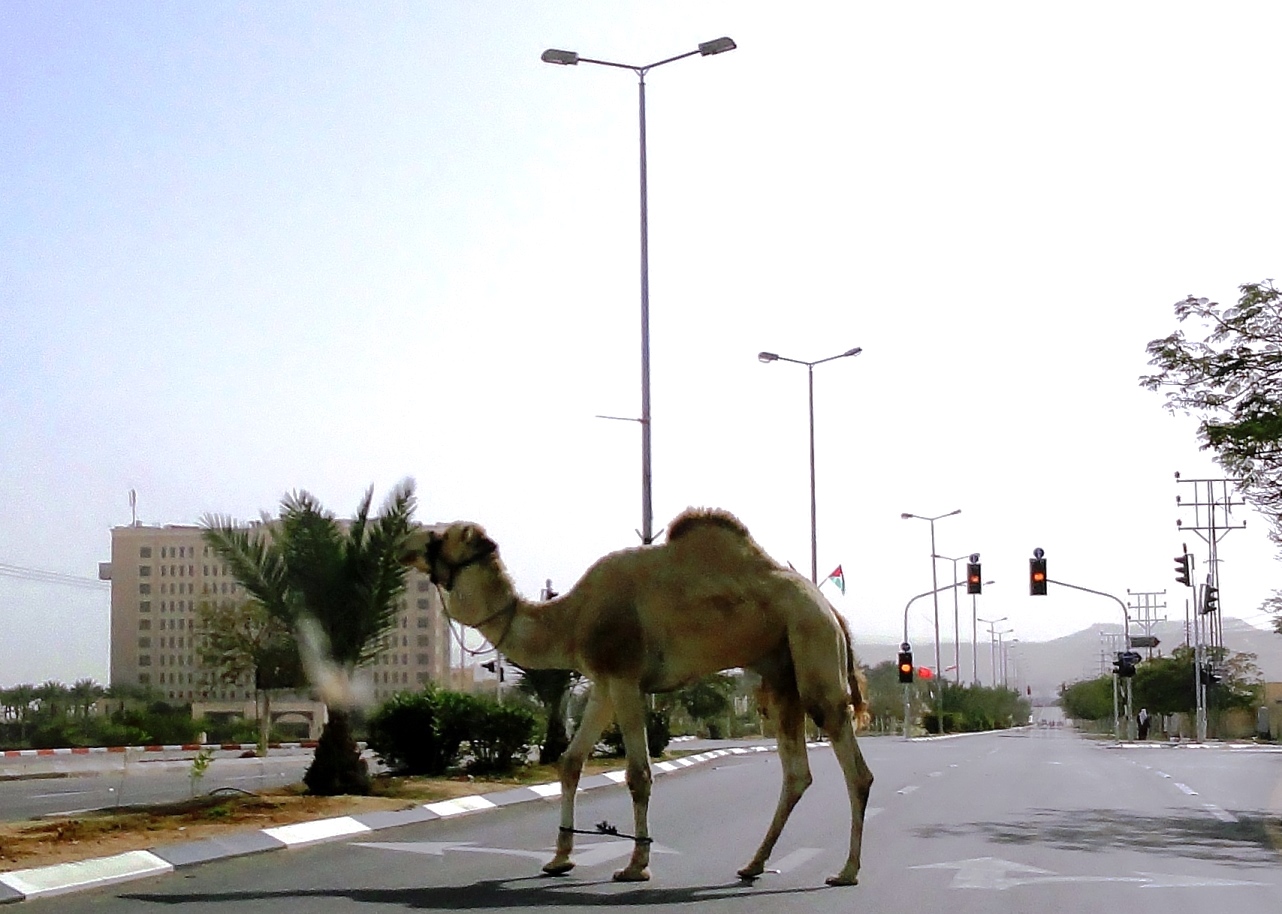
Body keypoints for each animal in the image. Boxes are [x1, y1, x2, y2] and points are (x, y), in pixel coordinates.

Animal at [399, 505, 876, 881]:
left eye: (440, 536)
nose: (404, 541)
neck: (573, 617)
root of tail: (832, 611)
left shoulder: (625, 676)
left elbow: (638, 773)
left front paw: (636, 865)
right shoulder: (603, 682)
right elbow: (570, 761)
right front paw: (559, 859)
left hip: (811, 641)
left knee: (852, 761)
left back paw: (847, 871)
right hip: (781, 673)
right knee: (796, 772)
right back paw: (753, 865)